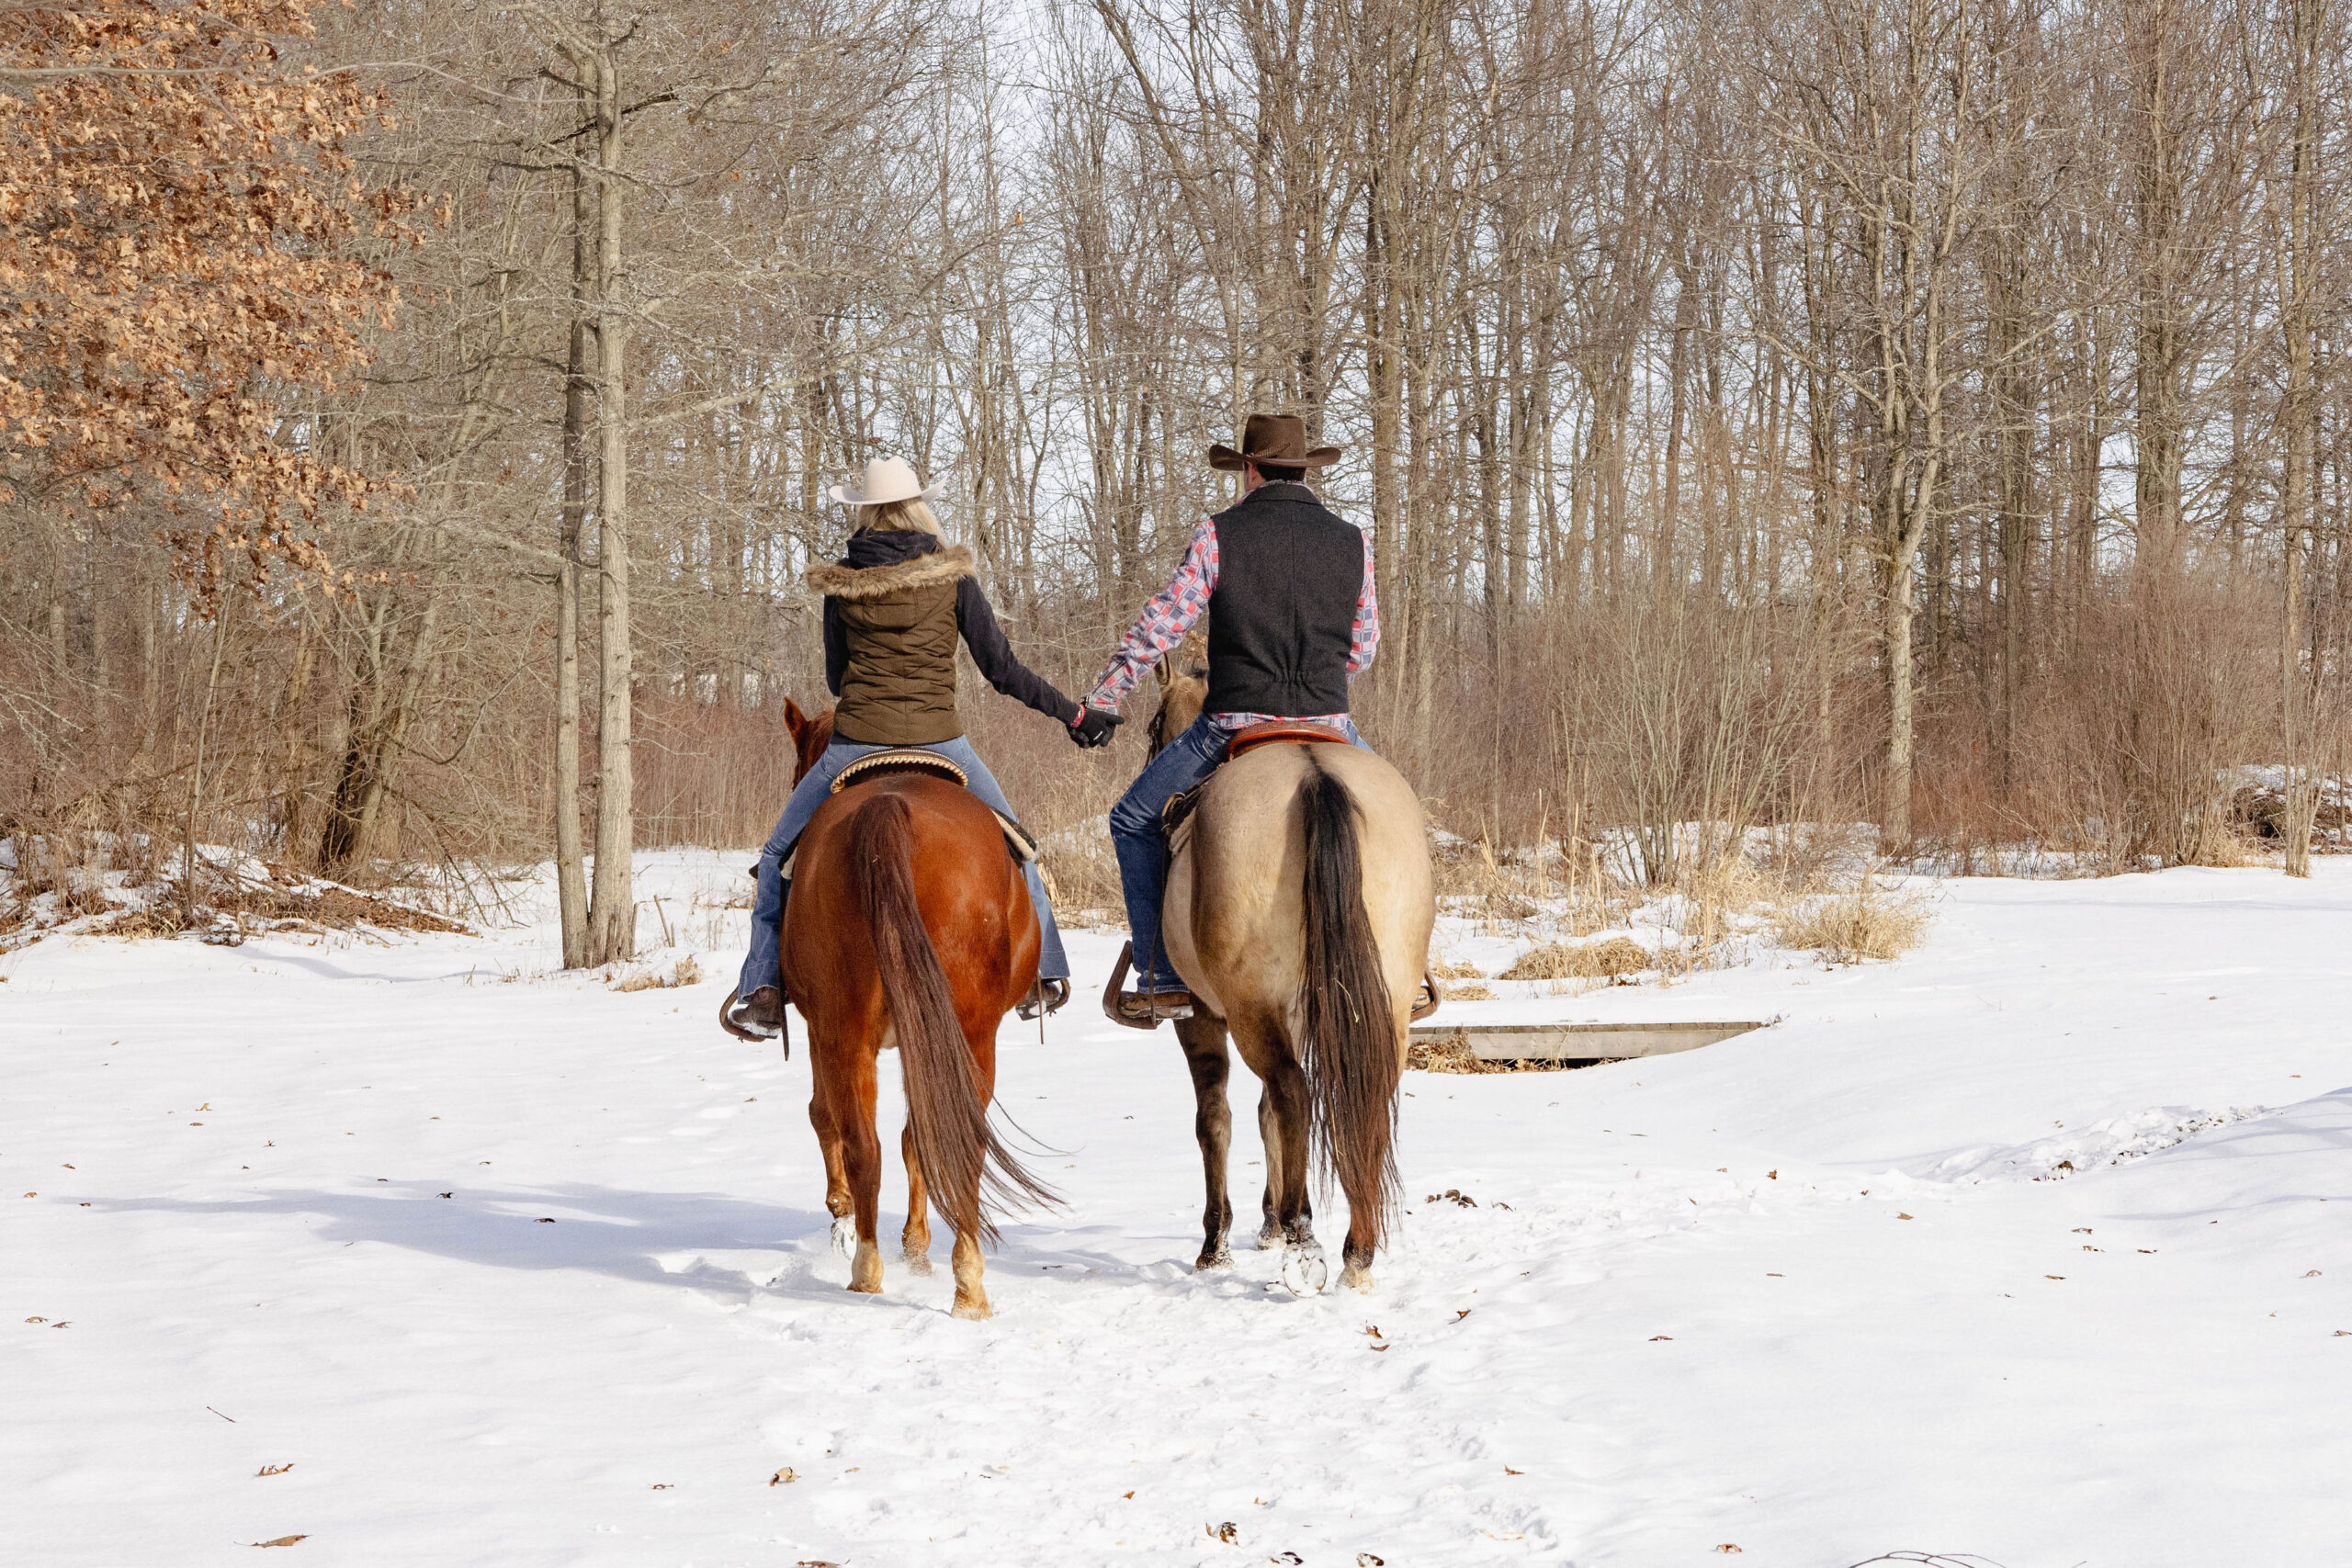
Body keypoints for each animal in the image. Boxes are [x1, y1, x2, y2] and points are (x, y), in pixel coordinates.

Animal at [775, 700, 1053, 1316]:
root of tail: (887, 808)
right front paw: (914, 1245)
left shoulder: (819, 1030)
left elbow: (821, 1113)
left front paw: (845, 1213)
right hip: (964, 1033)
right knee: (933, 1139)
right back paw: (959, 1283)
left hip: (854, 1031)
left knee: (869, 1140)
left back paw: (874, 1268)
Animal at [1133, 644, 1439, 1297]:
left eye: (1153, 727)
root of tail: (1312, 775)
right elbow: (1263, 1114)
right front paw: (1268, 1221)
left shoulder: (1201, 1013)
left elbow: (1217, 1119)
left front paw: (1217, 1244)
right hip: (1382, 1000)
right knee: (1359, 1090)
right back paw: (1356, 1248)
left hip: (1250, 1008)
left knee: (1291, 1092)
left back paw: (1304, 1238)